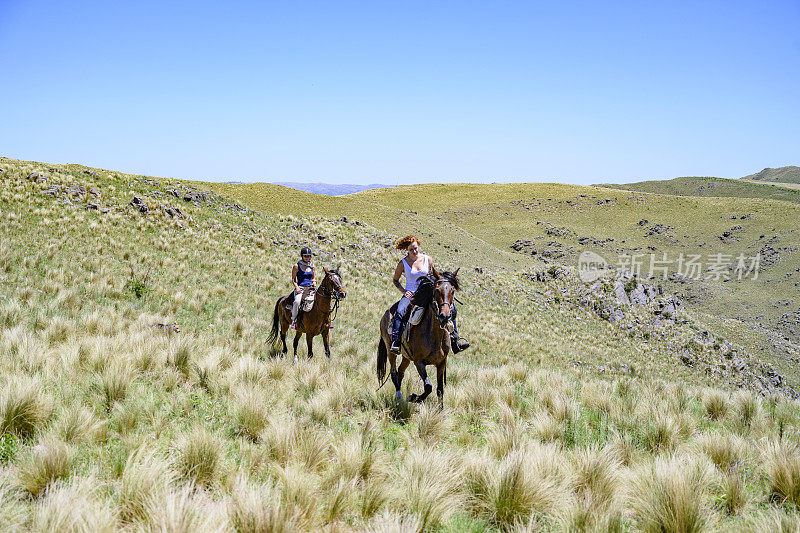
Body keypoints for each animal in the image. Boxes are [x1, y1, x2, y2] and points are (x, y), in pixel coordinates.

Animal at [378, 268, 460, 410]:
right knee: (393, 372)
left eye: (453, 290)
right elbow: (428, 387)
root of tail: (386, 313)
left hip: (406, 357)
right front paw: (413, 397)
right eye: (436, 290)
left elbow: (439, 389)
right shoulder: (419, 361)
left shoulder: (442, 362)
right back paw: (399, 396)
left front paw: (441, 411)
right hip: (390, 351)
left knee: (400, 372)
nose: (444, 316)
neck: (434, 337)